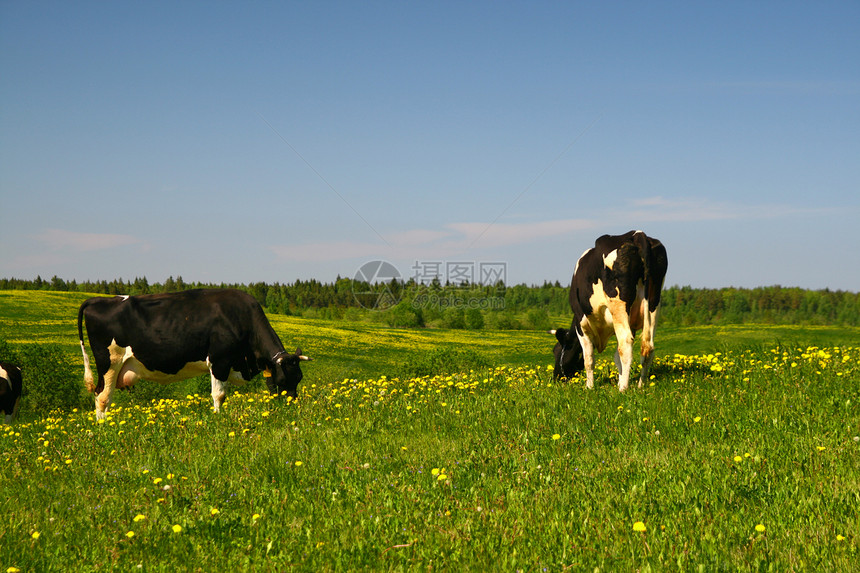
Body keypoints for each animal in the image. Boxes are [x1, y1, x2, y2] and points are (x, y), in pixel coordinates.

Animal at [78, 288, 312, 418]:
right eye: (283, 380)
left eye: (299, 378)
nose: (291, 408)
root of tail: (98, 300)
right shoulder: (219, 361)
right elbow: (219, 395)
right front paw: (217, 420)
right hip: (109, 361)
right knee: (102, 396)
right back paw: (103, 429)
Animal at [556, 230, 668, 392]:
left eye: (557, 352)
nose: (556, 378)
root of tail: (638, 234)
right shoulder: (631, 324)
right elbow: (616, 357)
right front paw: (620, 381)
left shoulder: (580, 323)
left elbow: (588, 358)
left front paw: (590, 387)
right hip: (654, 303)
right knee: (648, 346)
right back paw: (640, 385)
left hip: (618, 305)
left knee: (626, 344)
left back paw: (624, 390)